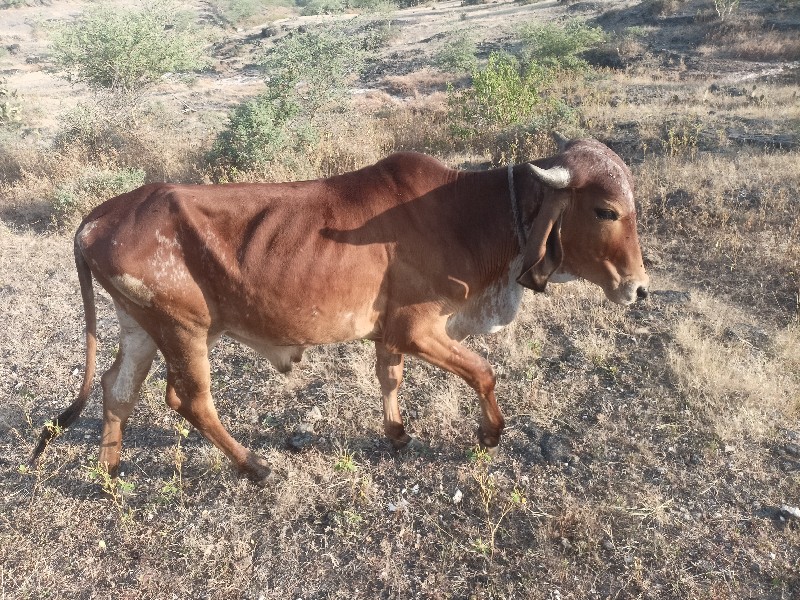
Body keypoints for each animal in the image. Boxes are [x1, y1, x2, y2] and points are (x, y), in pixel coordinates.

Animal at [32, 136, 648, 482]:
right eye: (606, 210)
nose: (639, 288)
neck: (470, 214)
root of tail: (96, 219)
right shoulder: (419, 327)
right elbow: (484, 371)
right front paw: (490, 434)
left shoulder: (391, 333)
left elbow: (389, 377)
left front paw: (397, 435)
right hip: (185, 327)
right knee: (190, 401)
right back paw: (254, 467)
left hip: (140, 324)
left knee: (117, 390)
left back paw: (111, 476)